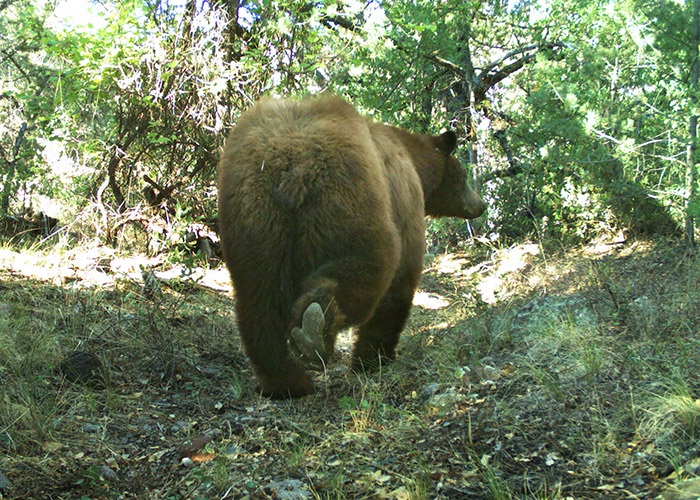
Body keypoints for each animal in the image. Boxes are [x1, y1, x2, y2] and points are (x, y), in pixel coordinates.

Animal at [219, 94, 486, 398]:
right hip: (349, 196)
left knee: (259, 299)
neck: (416, 163)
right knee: (367, 264)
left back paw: (286, 381)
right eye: (463, 176)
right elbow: (399, 284)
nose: (480, 205)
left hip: (252, 216)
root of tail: (292, 161)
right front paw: (374, 358)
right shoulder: (404, 200)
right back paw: (315, 328)